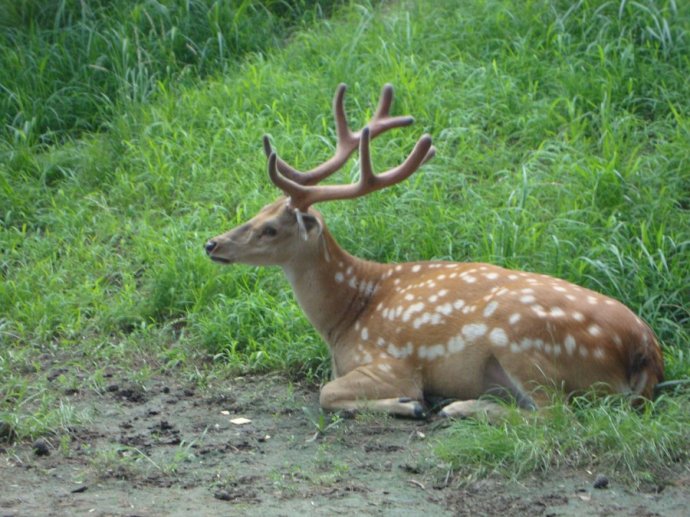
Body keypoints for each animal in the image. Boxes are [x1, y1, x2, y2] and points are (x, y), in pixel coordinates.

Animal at [204, 83, 664, 420]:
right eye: (257, 211)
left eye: (270, 229)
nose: (212, 243)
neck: (345, 318)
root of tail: (647, 352)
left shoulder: (392, 362)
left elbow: (326, 392)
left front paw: (409, 404)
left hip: (526, 344)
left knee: (555, 414)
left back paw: (461, 407)